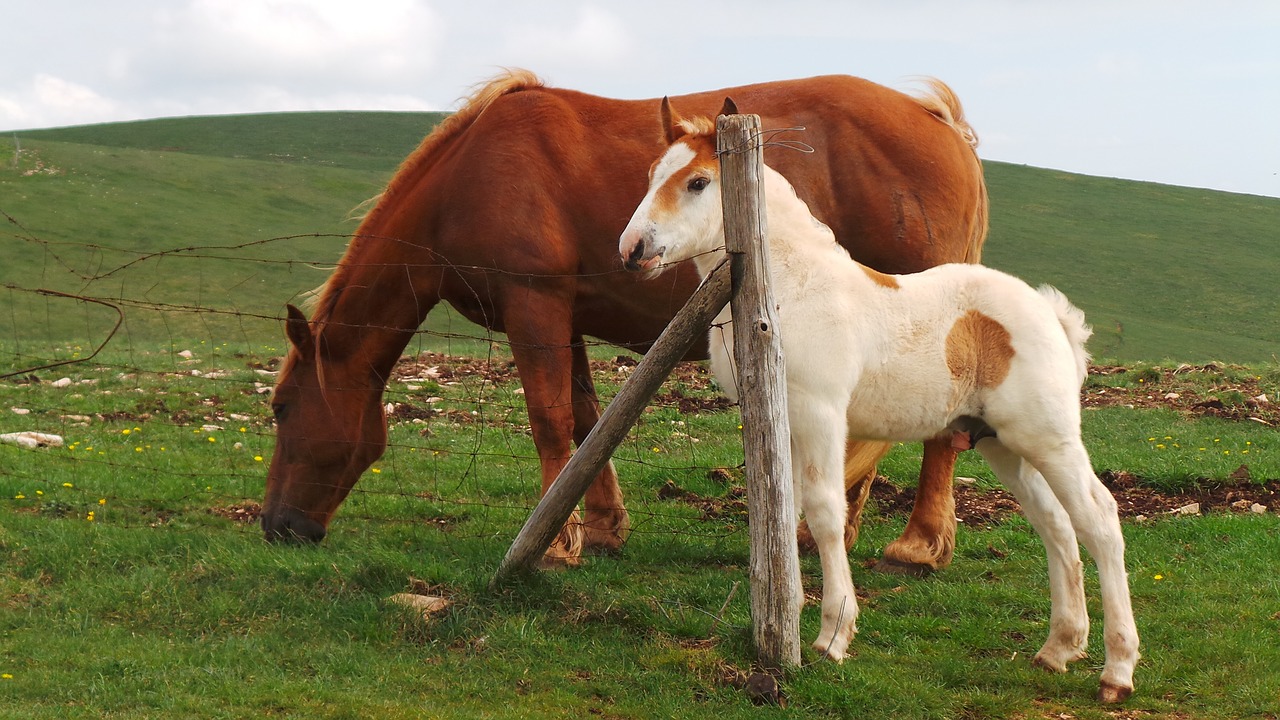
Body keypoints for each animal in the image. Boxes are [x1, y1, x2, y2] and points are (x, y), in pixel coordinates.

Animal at [264, 68, 988, 571]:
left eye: (280, 408)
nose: (275, 527)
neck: (467, 178)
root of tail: (940, 122)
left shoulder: (534, 305)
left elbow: (550, 419)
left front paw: (557, 544)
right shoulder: (564, 315)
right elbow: (586, 419)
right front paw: (603, 527)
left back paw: (919, 545)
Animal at [619, 103, 1141, 696]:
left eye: (698, 182)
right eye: (653, 175)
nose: (632, 251)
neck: (791, 289)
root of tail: (1050, 312)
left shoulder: (821, 414)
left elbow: (825, 511)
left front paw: (832, 636)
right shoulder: (776, 420)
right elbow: (780, 513)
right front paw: (786, 619)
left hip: (1049, 438)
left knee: (1100, 520)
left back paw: (1117, 670)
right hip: (1000, 443)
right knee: (1055, 523)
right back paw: (1059, 648)